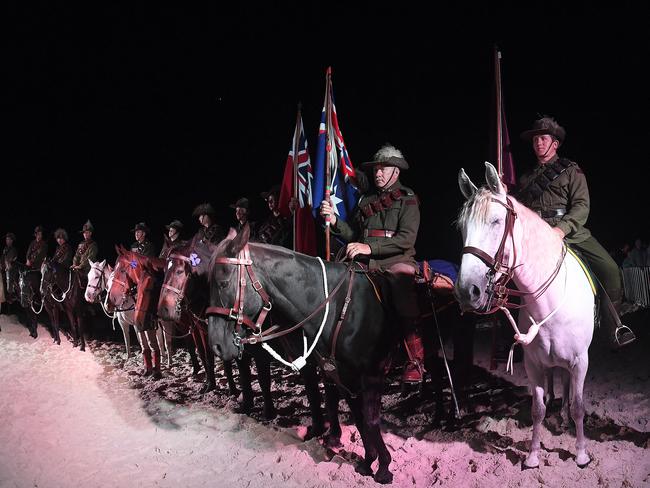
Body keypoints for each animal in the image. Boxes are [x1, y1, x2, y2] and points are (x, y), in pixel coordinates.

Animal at [208, 226, 400, 484]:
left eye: (223, 282)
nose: (216, 344)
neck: (341, 308)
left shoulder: (371, 375)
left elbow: (370, 420)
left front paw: (384, 468)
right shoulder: (343, 375)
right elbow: (359, 419)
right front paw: (369, 461)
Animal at [454, 163, 588, 468]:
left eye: (496, 221)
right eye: (462, 227)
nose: (468, 291)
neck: (548, 305)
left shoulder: (580, 362)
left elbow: (578, 406)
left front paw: (582, 454)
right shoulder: (534, 365)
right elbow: (538, 408)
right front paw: (533, 456)